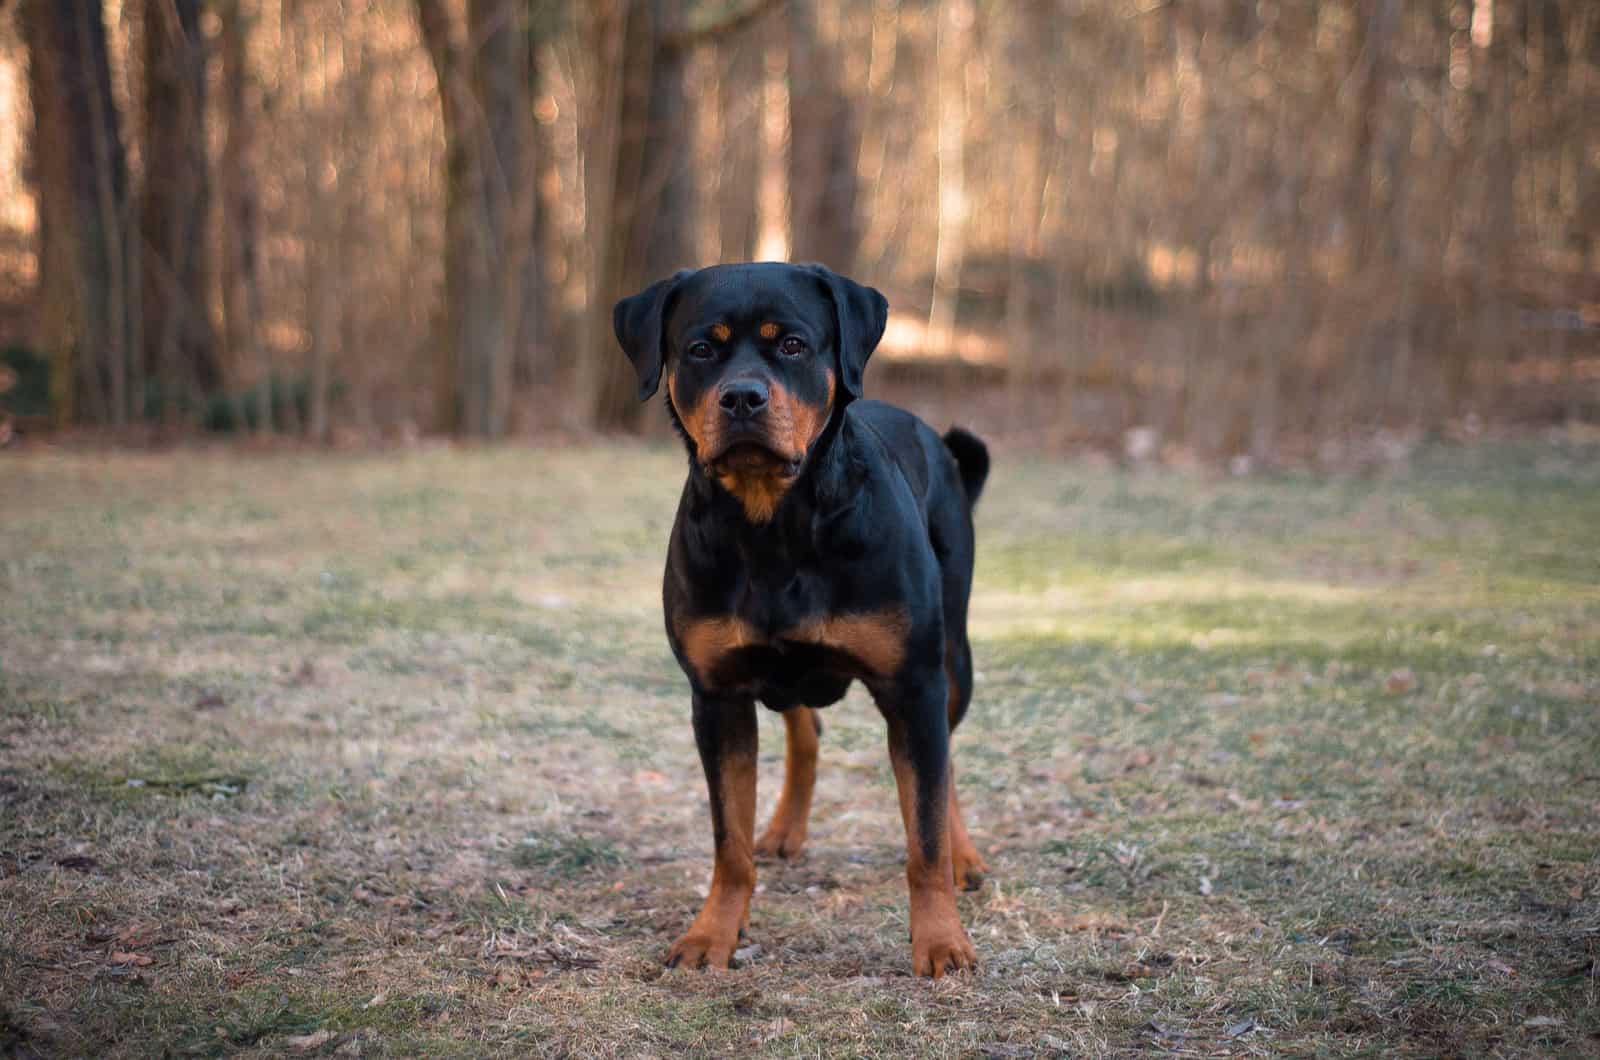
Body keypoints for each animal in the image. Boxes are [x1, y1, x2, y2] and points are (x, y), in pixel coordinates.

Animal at [611, 259, 985, 979]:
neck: (775, 524)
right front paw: (713, 933)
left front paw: (940, 941)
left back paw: (964, 856)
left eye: (791, 345)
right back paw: (785, 828)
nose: (742, 398)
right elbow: (728, 838)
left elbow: (922, 829)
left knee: (944, 763)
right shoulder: (717, 695)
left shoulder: (913, 684)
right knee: (805, 726)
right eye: (700, 350)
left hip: (953, 658)